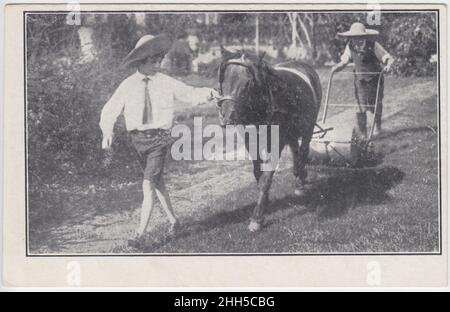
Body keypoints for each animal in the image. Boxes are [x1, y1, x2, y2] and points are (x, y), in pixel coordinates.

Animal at [216, 47, 322, 232]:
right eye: (223, 79)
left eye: (248, 83)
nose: (227, 117)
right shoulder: (250, 141)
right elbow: (258, 174)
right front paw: (265, 203)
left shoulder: (277, 142)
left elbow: (266, 178)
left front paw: (257, 217)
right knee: (295, 149)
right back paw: (299, 178)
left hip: (308, 126)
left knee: (303, 151)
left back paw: (301, 176)